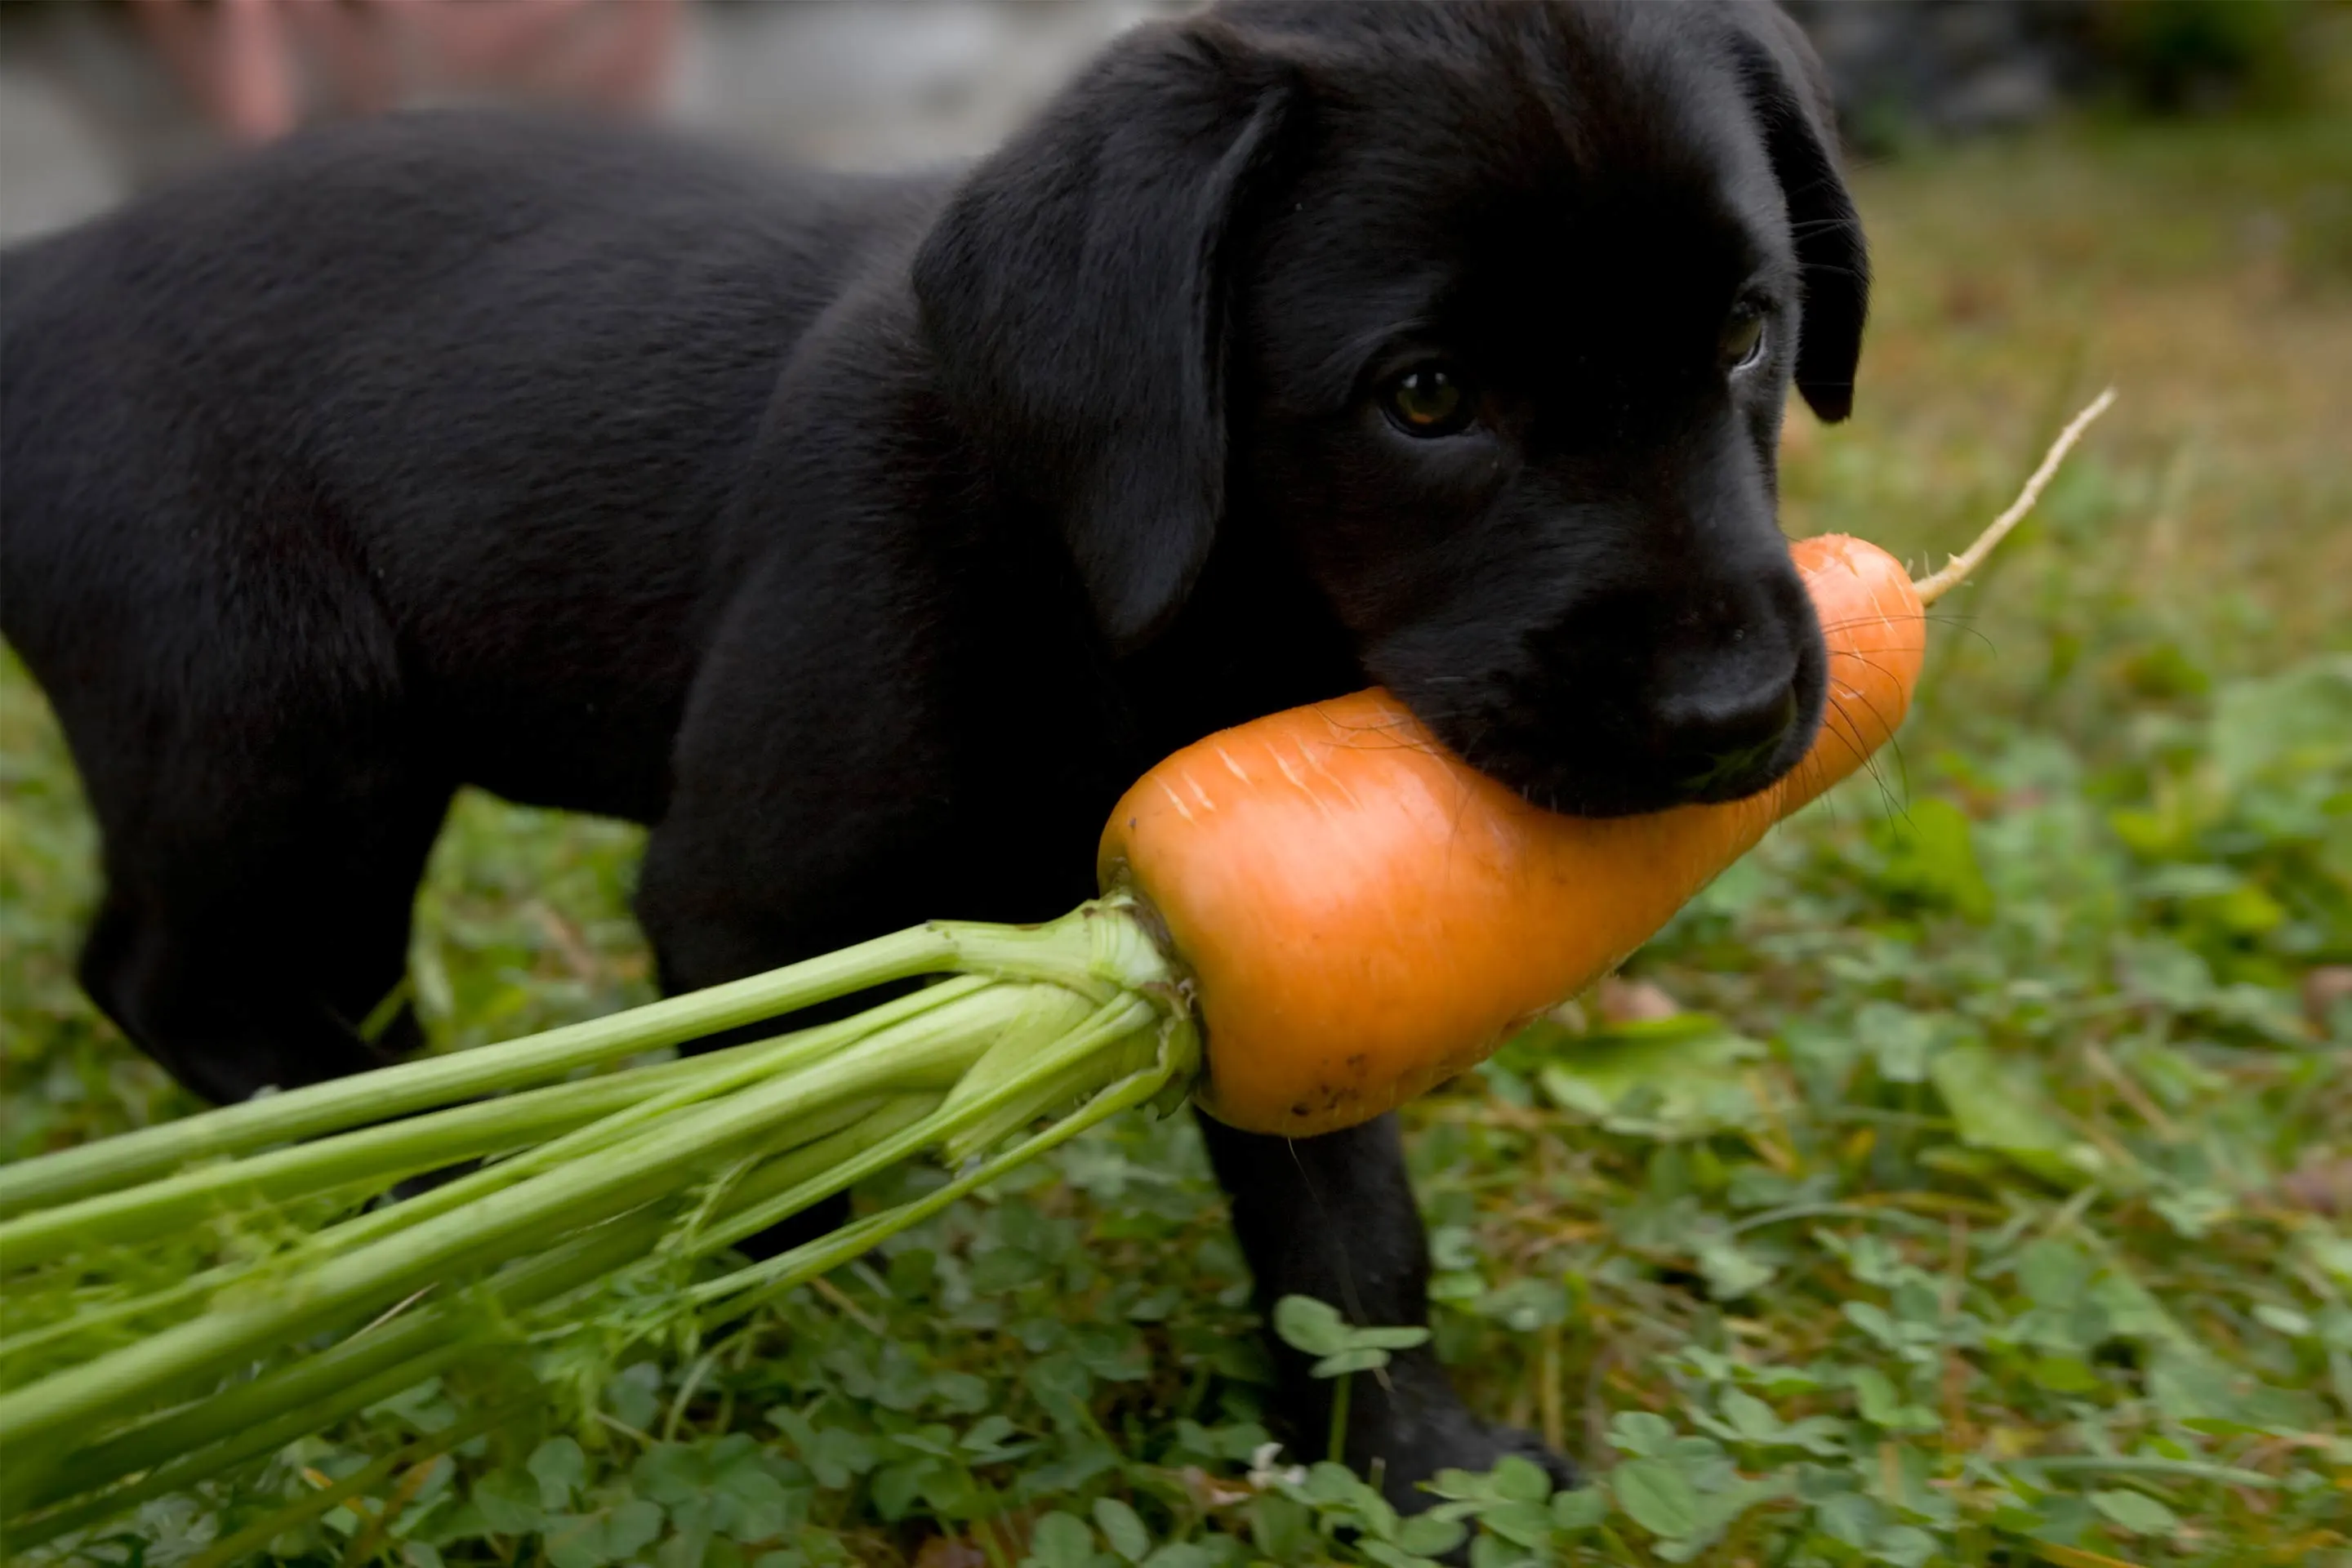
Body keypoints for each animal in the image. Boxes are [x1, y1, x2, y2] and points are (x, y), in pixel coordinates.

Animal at [4, 0, 1872, 1504]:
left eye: (1746, 334)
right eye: (1426, 398)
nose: (1730, 712)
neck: (1127, 582)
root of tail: (48, 274)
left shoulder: (1265, 932)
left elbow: (1346, 1223)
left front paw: (1407, 1459)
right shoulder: (742, 906)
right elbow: (767, 1179)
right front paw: (731, 1383)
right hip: (274, 712)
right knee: (175, 979)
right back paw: (453, 1191)